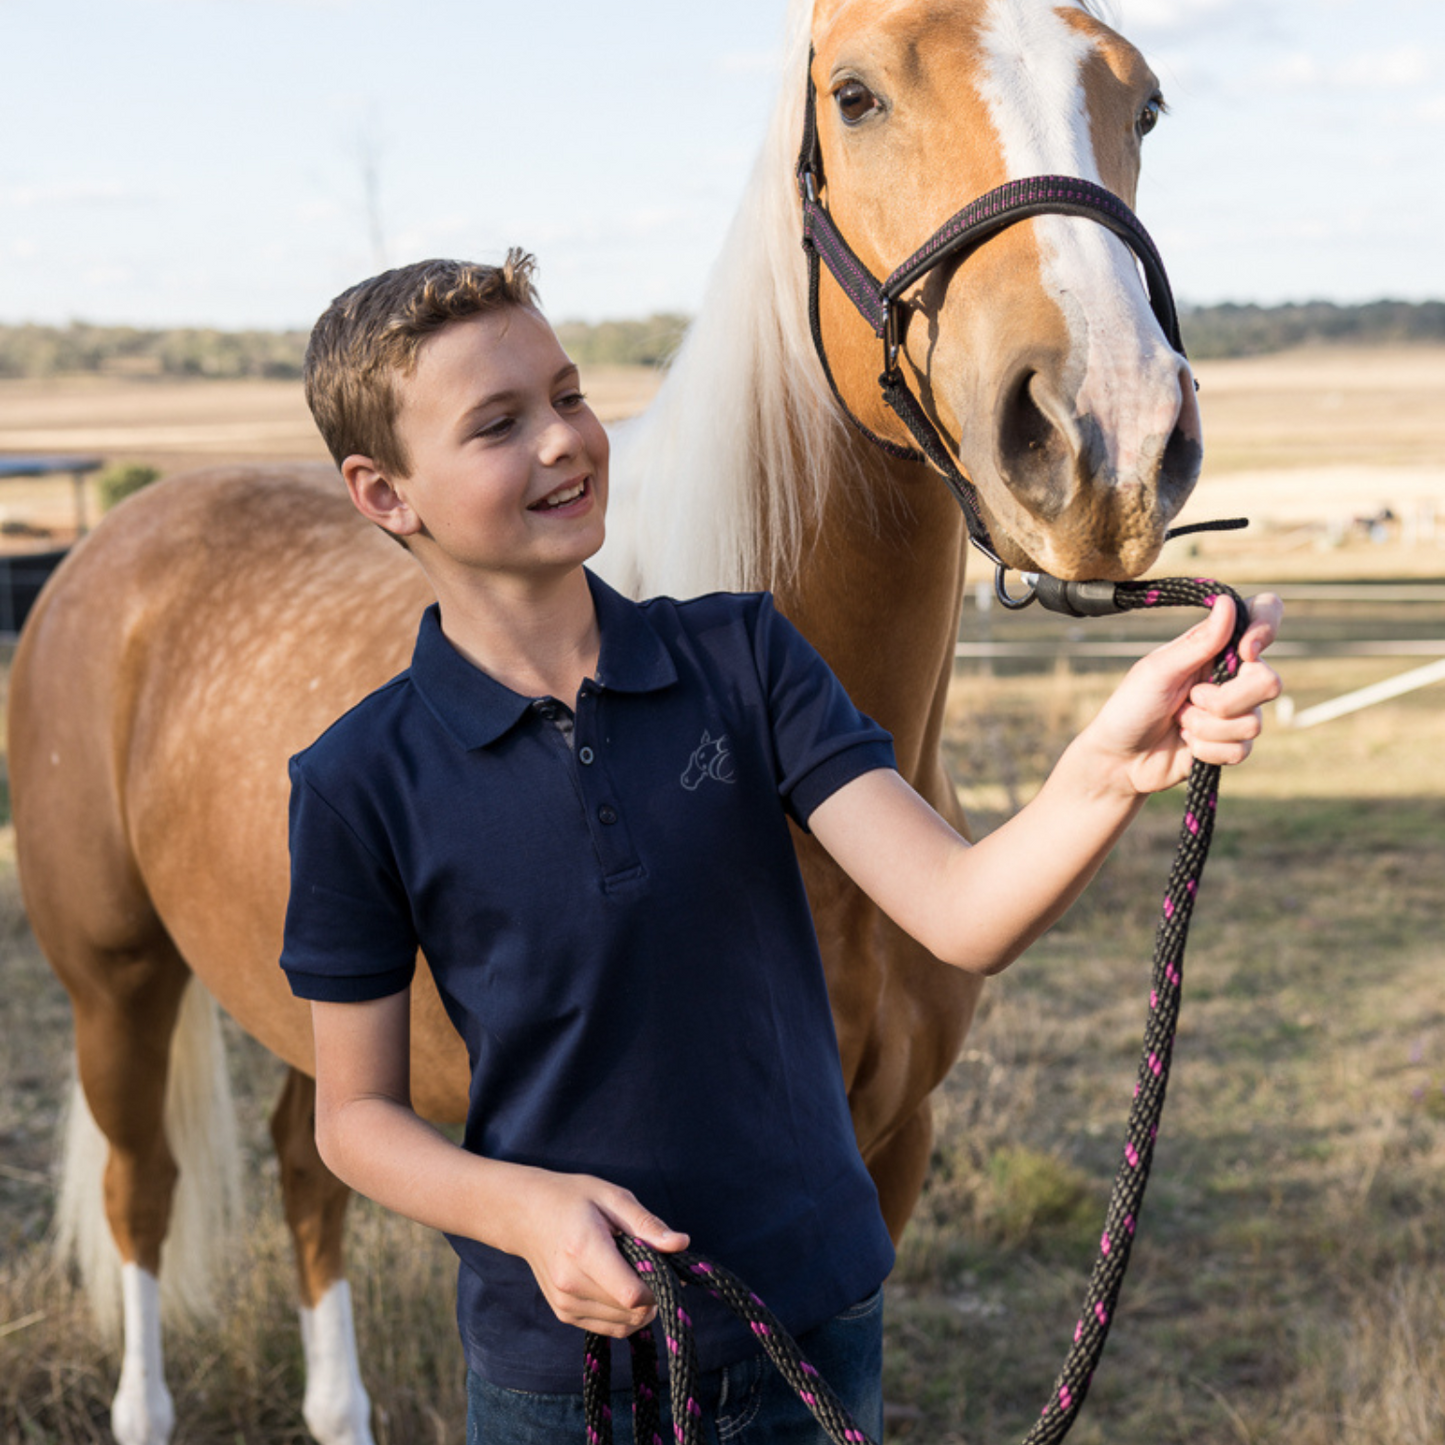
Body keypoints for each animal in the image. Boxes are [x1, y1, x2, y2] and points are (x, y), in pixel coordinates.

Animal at [11, 2, 1196, 1445]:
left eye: (1141, 105)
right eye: (855, 95)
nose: (1109, 437)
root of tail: (114, 544)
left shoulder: (891, 1153)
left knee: (306, 1166)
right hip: (116, 985)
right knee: (142, 1199)